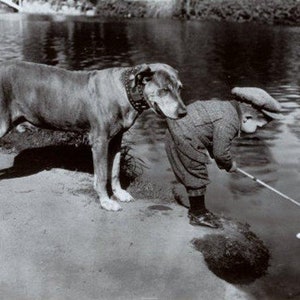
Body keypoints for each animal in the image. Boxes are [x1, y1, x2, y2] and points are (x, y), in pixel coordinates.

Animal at [0, 60, 186, 211]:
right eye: (164, 90)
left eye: (179, 88)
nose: (184, 112)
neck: (125, 90)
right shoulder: (100, 141)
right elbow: (103, 175)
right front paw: (106, 201)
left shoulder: (116, 140)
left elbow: (114, 170)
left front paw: (119, 193)